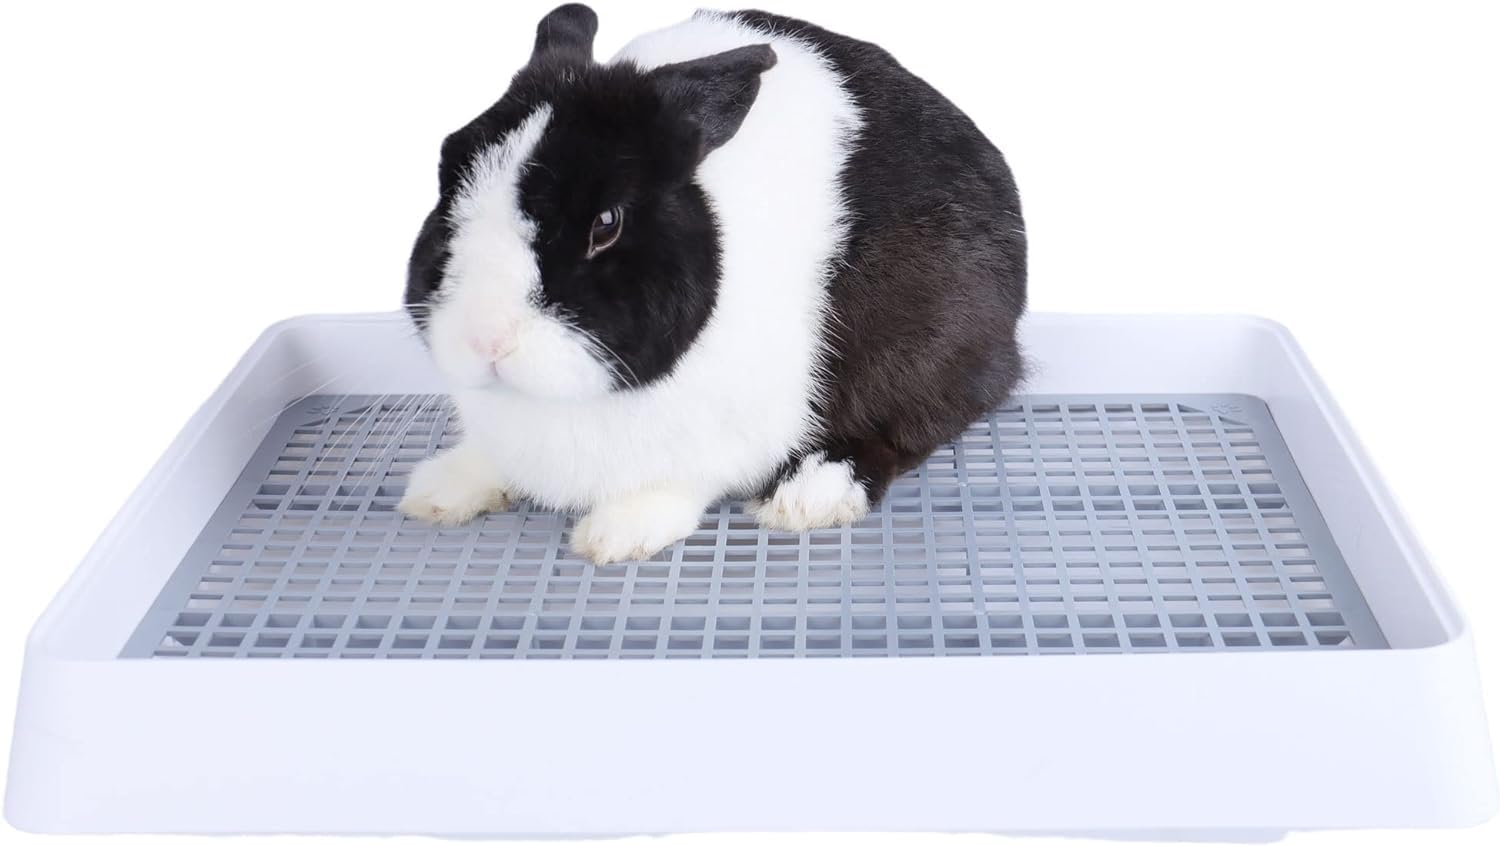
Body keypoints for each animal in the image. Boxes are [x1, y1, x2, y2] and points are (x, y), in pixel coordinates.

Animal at [399, 4, 1026, 563]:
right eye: (448, 179)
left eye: (607, 223)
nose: (486, 339)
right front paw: (438, 492)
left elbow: (678, 481)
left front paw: (618, 535)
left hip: (926, 340)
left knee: (913, 422)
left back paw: (809, 496)